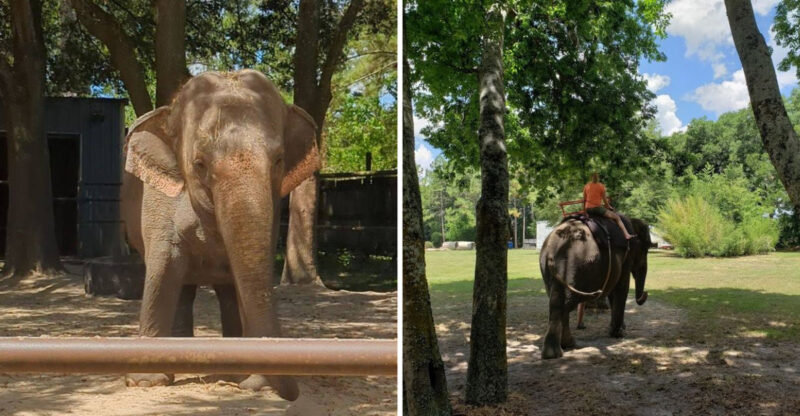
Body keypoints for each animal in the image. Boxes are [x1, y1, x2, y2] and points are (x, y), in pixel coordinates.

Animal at [119, 70, 320, 400]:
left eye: (279, 160)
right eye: (199, 164)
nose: (292, 394)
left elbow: (247, 275)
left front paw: (257, 384)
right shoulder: (158, 205)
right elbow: (162, 269)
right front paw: (146, 382)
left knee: (225, 291)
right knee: (183, 287)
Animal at [538, 215, 651, 359]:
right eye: (646, 249)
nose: (646, 293)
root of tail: (552, 250)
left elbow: (613, 291)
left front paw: (616, 330)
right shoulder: (626, 257)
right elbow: (621, 287)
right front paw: (619, 334)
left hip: (551, 268)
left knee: (558, 302)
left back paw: (562, 348)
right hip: (573, 267)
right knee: (566, 304)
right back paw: (559, 350)